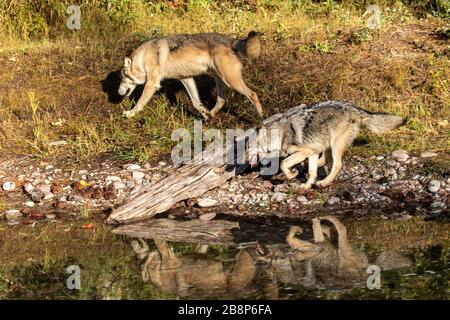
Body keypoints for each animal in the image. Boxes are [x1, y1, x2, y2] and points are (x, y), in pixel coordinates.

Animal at [118, 31, 264, 120]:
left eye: (122, 78)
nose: (118, 93)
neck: (143, 58)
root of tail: (232, 40)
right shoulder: (186, 79)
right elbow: (196, 103)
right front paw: (205, 115)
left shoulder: (151, 84)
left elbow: (140, 103)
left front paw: (130, 113)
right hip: (219, 79)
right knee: (221, 101)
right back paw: (211, 115)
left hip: (230, 81)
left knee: (253, 94)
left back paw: (261, 118)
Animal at [248, 101, 406, 189]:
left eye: (247, 148)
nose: (247, 162)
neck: (279, 134)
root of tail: (356, 109)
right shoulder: (312, 151)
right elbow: (311, 171)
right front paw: (306, 185)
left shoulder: (304, 151)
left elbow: (283, 163)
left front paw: (292, 175)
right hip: (326, 145)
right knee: (324, 161)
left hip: (335, 145)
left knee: (337, 165)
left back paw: (324, 183)